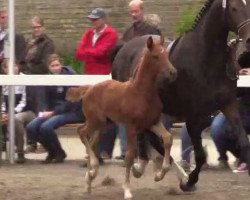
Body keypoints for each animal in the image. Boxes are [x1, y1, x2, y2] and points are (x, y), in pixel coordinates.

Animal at [66, 36, 188, 199]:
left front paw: (159, 175)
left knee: (92, 142)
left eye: (166, 55)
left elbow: (168, 138)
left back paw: (90, 178)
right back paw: (92, 169)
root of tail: (89, 89)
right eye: (156, 56)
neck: (141, 93)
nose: (173, 72)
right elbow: (130, 156)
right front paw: (127, 190)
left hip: (105, 124)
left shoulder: (153, 122)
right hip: (95, 121)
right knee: (81, 131)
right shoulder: (131, 127)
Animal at [112, 0, 250, 192]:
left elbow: (244, 143)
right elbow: (199, 155)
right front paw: (189, 181)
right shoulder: (193, 117)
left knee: (155, 139)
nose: (249, 38)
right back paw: (145, 167)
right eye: (234, 8)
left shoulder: (228, 105)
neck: (204, 57)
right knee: (148, 138)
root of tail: (123, 48)